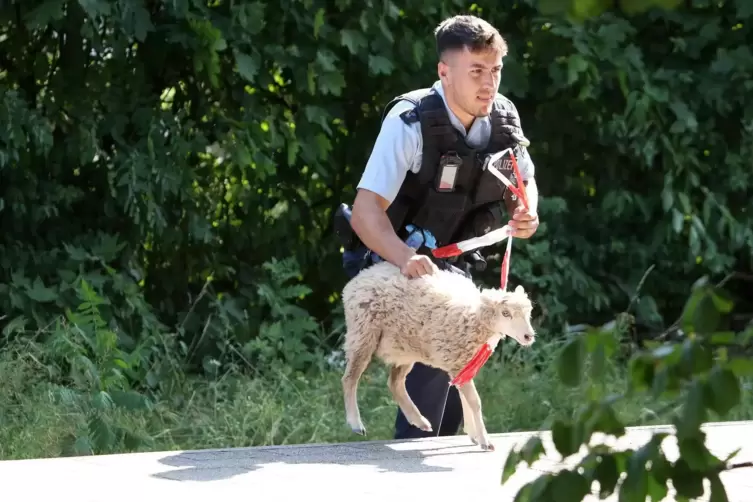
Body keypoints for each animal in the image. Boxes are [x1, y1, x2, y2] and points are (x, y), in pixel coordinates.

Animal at [338, 258, 532, 452]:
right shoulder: (457, 362)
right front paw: (485, 440)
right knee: (350, 378)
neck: (473, 316)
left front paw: (474, 434)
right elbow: (474, 401)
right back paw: (356, 423)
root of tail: (361, 276)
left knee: (395, 382)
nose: (528, 336)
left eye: (528, 313)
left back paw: (419, 420)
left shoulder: (463, 365)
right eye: (505, 313)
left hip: (405, 346)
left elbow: (466, 399)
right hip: (363, 333)